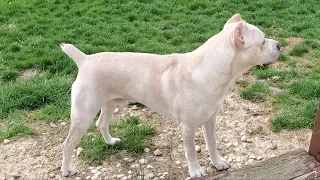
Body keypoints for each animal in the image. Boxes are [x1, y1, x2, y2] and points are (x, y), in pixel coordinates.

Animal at [60, 14, 280, 177]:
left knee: (101, 124)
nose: (278, 45)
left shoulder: (210, 120)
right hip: (83, 116)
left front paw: (217, 163)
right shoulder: (188, 127)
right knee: (68, 144)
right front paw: (196, 171)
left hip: (109, 104)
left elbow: (212, 144)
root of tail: (84, 59)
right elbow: (190, 151)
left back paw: (110, 142)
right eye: (262, 42)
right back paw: (66, 170)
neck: (209, 70)